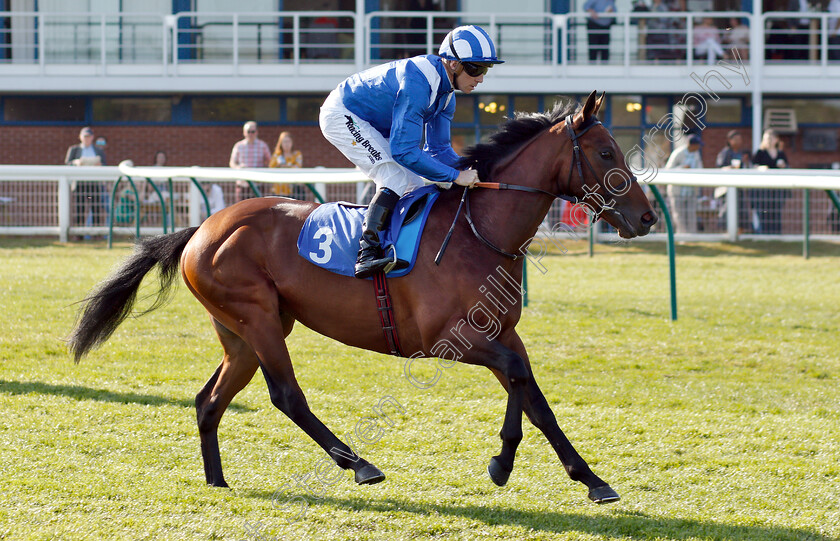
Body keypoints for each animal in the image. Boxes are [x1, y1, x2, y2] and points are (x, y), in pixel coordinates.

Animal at [69, 92, 656, 502]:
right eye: (606, 151)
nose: (647, 217)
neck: (478, 230)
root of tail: (203, 228)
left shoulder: (500, 333)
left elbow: (531, 394)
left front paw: (577, 476)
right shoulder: (448, 339)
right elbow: (518, 378)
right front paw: (510, 462)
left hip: (242, 334)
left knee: (209, 400)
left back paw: (217, 480)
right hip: (258, 320)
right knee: (287, 396)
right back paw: (359, 464)